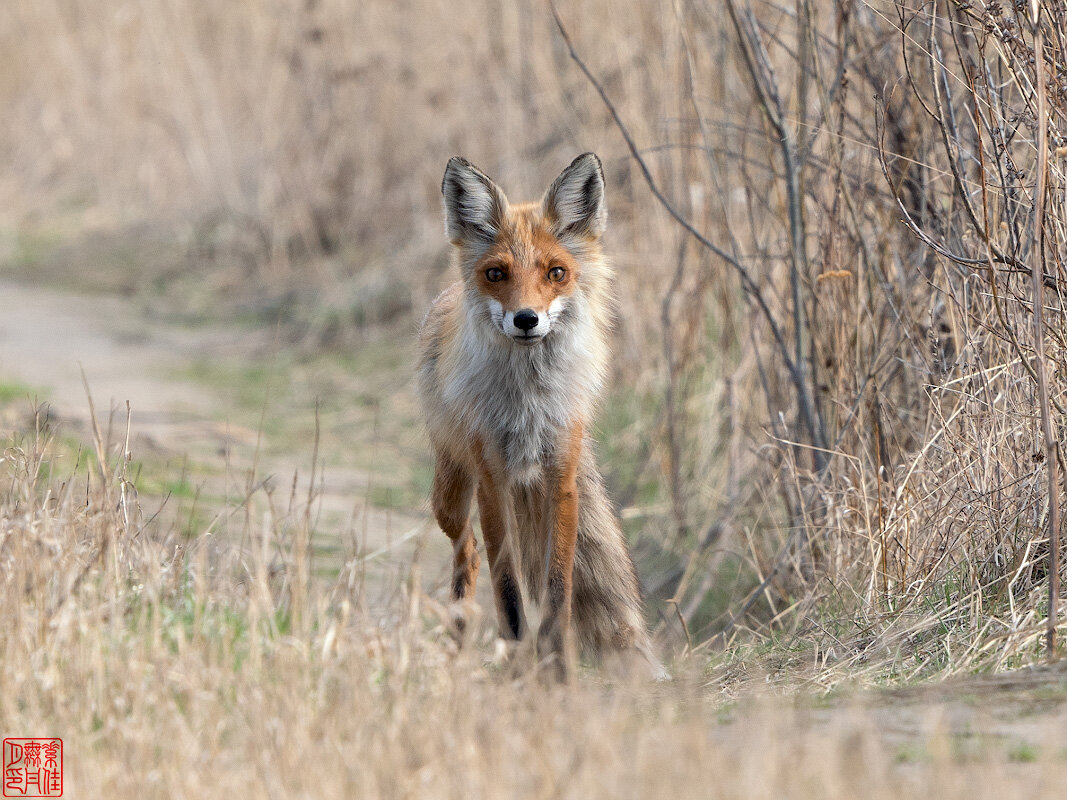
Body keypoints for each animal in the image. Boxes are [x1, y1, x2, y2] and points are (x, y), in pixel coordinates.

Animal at [413, 153, 657, 678]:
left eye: (556, 272)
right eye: (496, 274)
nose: (526, 319)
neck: (527, 406)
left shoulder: (559, 478)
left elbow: (558, 588)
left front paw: (557, 664)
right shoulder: (493, 483)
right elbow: (507, 591)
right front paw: (519, 664)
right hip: (450, 494)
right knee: (468, 553)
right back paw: (459, 637)